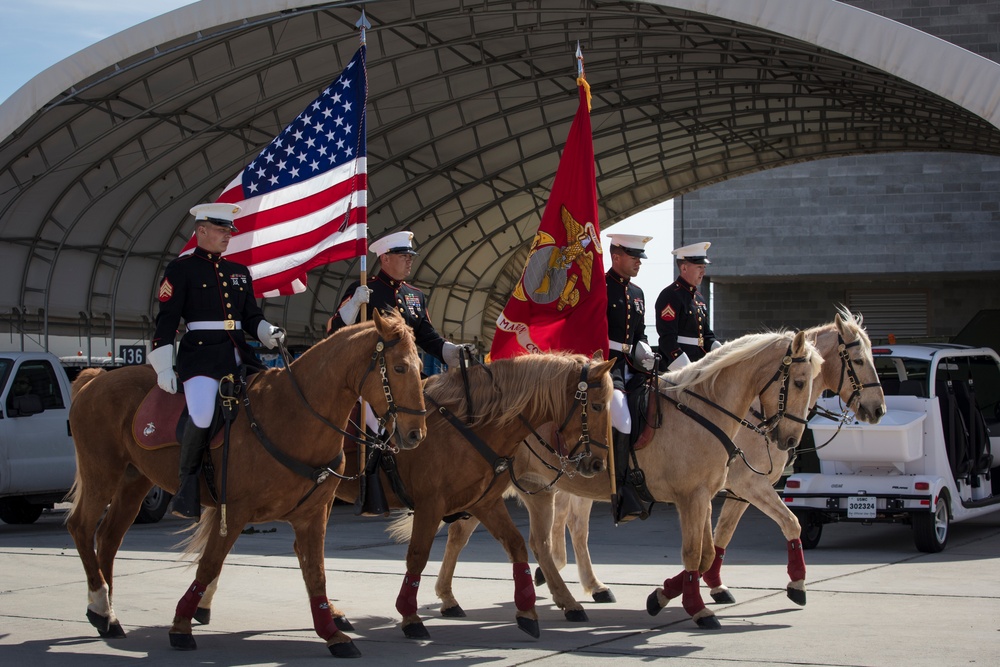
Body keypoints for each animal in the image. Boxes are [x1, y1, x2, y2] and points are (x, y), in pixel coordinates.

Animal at [65, 310, 426, 660]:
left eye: (421, 368)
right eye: (399, 367)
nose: (416, 434)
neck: (294, 415)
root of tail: (96, 378)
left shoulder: (312, 515)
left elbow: (316, 572)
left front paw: (332, 634)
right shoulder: (234, 512)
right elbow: (209, 564)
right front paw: (181, 625)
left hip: (133, 481)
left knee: (108, 537)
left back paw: (106, 614)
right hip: (102, 473)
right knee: (81, 526)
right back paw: (102, 605)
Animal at [334, 354, 616, 640]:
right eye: (596, 406)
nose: (597, 464)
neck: (470, 428)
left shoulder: (484, 502)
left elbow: (516, 545)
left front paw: (527, 612)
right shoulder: (430, 505)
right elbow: (417, 555)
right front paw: (410, 617)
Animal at [436, 332, 820, 628]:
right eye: (800, 382)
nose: (790, 440)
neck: (703, 411)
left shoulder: (706, 496)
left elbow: (707, 554)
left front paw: (661, 596)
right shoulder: (693, 497)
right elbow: (693, 553)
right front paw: (697, 609)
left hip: (527, 490)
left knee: (528, 540)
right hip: (506, 489)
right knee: (478, 535)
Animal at [520, 308, 888, 620]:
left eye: (814, 378)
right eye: (858, 360)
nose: (878, 410)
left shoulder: (724, 490)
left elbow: (716, 540)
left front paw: (702, 587)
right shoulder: (742, 485)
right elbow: (782, 524)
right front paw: (793, 585)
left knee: (572, 526)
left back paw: (586, 584)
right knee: (570, 526)